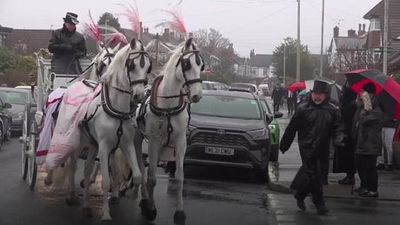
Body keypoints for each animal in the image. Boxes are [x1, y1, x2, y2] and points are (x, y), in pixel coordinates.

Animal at [78, 38, 152, 220]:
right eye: (131, 65)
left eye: (148, 67)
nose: (139, 96)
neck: (117, 107)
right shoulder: (104, 146)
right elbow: (105, 181)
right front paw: (106, 214)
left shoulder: (126, 144)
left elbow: (137, 175)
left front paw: (126, 193)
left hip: (94, 144)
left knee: (88, 168)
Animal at [134, 37, 205, 222]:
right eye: (187, 64)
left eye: (201, 65)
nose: (197, 95)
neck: (168, 106)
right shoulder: (154, 141)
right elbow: (152, 177)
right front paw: (151, 209)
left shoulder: (181, 141)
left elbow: (180, 177)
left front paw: (179, 212)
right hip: (137, 139)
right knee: (141, 167)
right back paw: (144, 200)